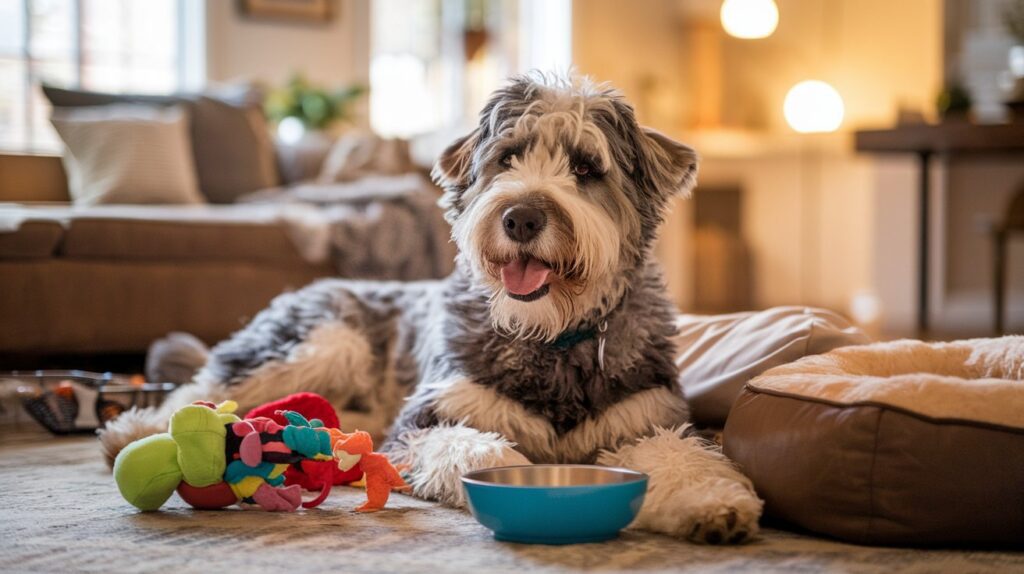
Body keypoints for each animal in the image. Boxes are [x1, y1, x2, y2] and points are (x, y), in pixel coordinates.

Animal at [101, 73, 761, 544]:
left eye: (586, 167)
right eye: (507, 158)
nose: (521, 217)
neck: (551, 340)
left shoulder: (650, 418)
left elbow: (682, 457)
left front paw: (712, 503)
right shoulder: (425, 419)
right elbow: (469, 444)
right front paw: (505, 464)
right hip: (319, 339)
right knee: (203, 386)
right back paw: (130, 430)